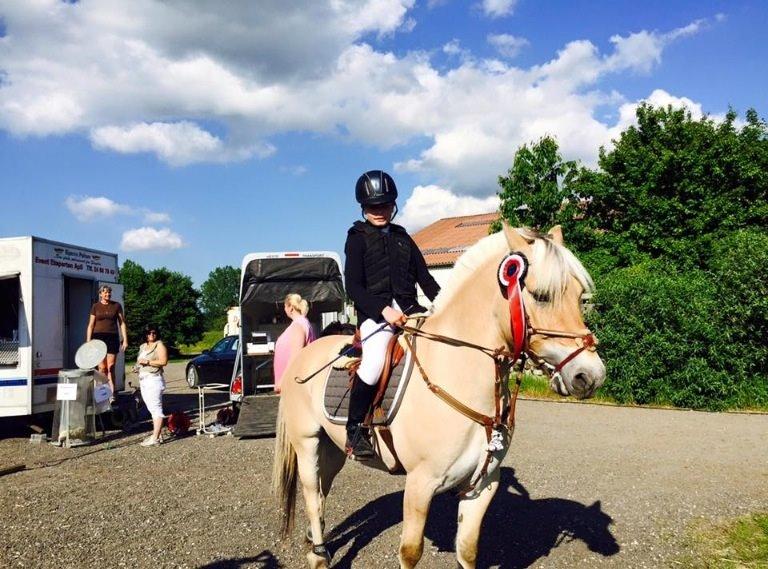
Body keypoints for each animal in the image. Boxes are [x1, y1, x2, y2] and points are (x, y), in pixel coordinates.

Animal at [274, 224, 608, 564]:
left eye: (579, 296)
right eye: (541, 296)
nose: (591, 376)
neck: (458, 371)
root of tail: (304, 355)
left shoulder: (483, 485)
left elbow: (468, 550)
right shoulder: (420, 484)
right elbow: (410, 552)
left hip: (333, 448)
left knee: (322, 488)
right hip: (308, 443)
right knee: (312, 493)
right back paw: (318, 555)